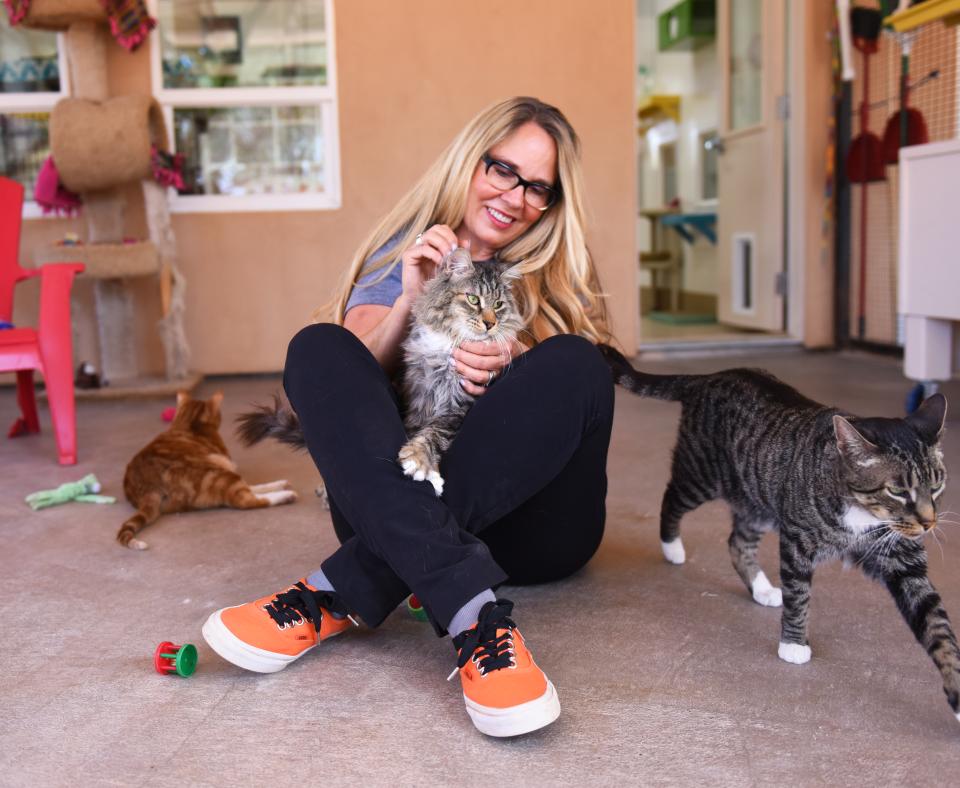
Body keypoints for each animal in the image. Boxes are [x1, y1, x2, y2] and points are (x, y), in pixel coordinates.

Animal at [117, 392, 296, 548]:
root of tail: (148, 488)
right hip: (218, 474)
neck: (188, 423)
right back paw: (286, 495)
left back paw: (280, 484)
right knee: (246, 500)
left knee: (250, 490)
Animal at [240, 249, 524, 498]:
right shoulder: (419, 395)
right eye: (474, 300)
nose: (490, 324)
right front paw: (426, 472)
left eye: (499, 304)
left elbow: (434, 434)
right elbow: (416, 429)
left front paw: (420, 462)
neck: (449, 346)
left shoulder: (457, 404)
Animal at [596, 344, 956, 720]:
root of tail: (713, 376)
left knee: (737, 542)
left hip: (758, 504)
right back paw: (672, 547)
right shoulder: (798, 543)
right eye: (898, 491)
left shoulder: (904, 562)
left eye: (937, 485)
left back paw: (763, 589)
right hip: (701, 475)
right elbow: (799, 595)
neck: (861, 515)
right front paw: (794, 644)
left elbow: (939, 628)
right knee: (672, 497)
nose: (929, 522)